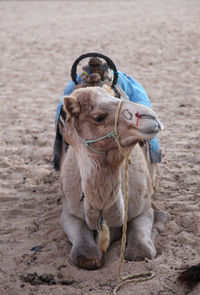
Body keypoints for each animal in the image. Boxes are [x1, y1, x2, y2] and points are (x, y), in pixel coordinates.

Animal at [59, 85, 167, 270]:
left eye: (117, 98)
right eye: (99, 117)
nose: (150, 116)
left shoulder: (143, 210)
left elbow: (140, 251)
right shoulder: (69, 214)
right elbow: (85, 255)